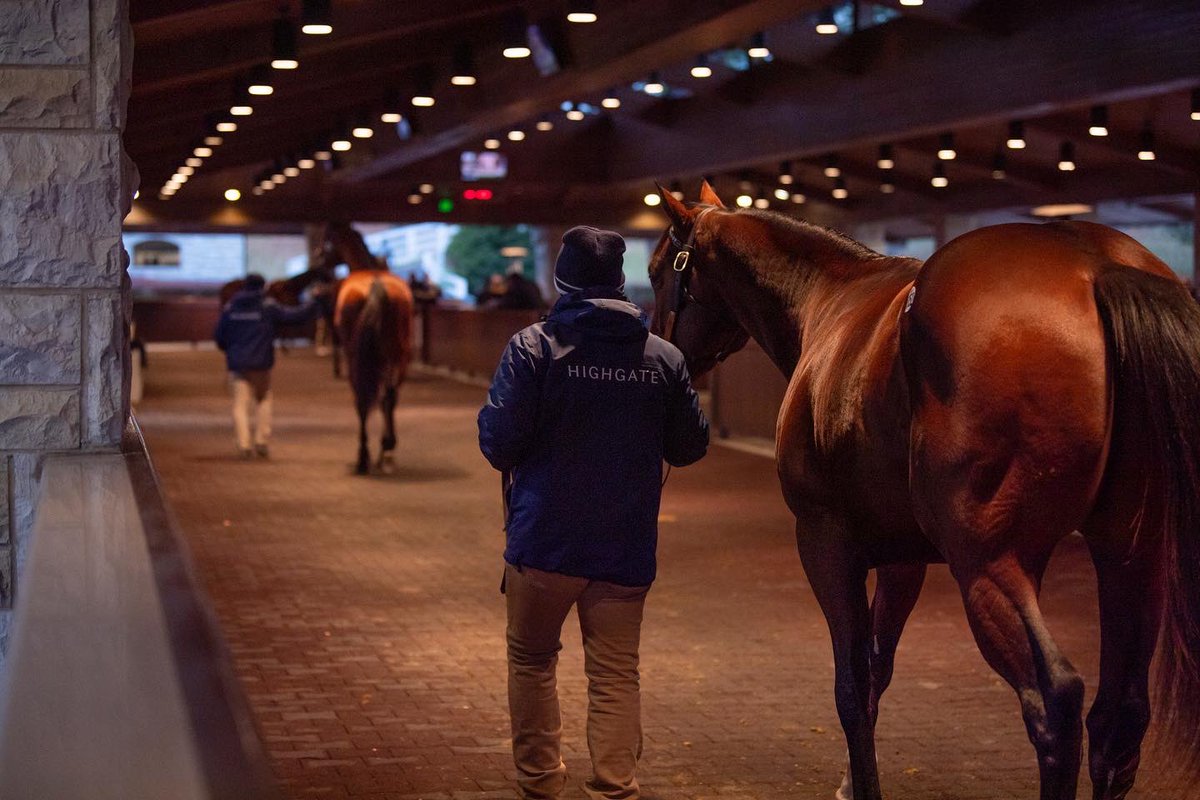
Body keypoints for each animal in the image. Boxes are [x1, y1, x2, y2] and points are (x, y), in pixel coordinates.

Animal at [334, 270, 414, 475]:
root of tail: (376, 284)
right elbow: (385, 400)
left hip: (361, 360)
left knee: (365, 401)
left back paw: (366, 457)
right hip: (397, 357)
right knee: (388, 398)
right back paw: (382, 452)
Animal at [649, 182, 1200, 800]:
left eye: (656, 271)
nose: (661, 351)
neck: (831, 303)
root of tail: (1098, 266)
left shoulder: (825, 542)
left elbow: (851, 686)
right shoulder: (903, 559)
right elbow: (877, 670)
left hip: (986, 563)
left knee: (1056, 703)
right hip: (1131, 557)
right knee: (1118, 720)